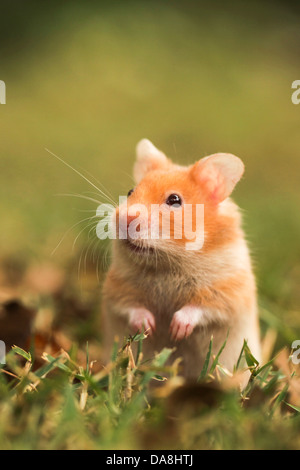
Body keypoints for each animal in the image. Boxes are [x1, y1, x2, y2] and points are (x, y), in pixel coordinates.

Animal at [102, 139, 260, 386]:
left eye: (174, 200)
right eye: (130, 192)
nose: (125, 219)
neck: (167, 264)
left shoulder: (229, 291)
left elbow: (200, 307)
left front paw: (176, 330)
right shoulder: (116, 287)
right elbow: (130, 306)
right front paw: (150, 327)